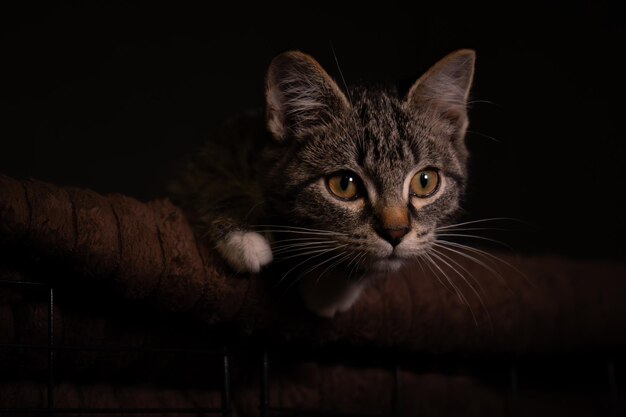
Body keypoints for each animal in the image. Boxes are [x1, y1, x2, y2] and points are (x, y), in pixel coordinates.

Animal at [166, 48, 472, 316]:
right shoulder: (211, 155)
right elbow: (211, 180)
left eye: (425, 182)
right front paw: (244, 235)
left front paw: (334, 283)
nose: (396, 233)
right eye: (345, 184)